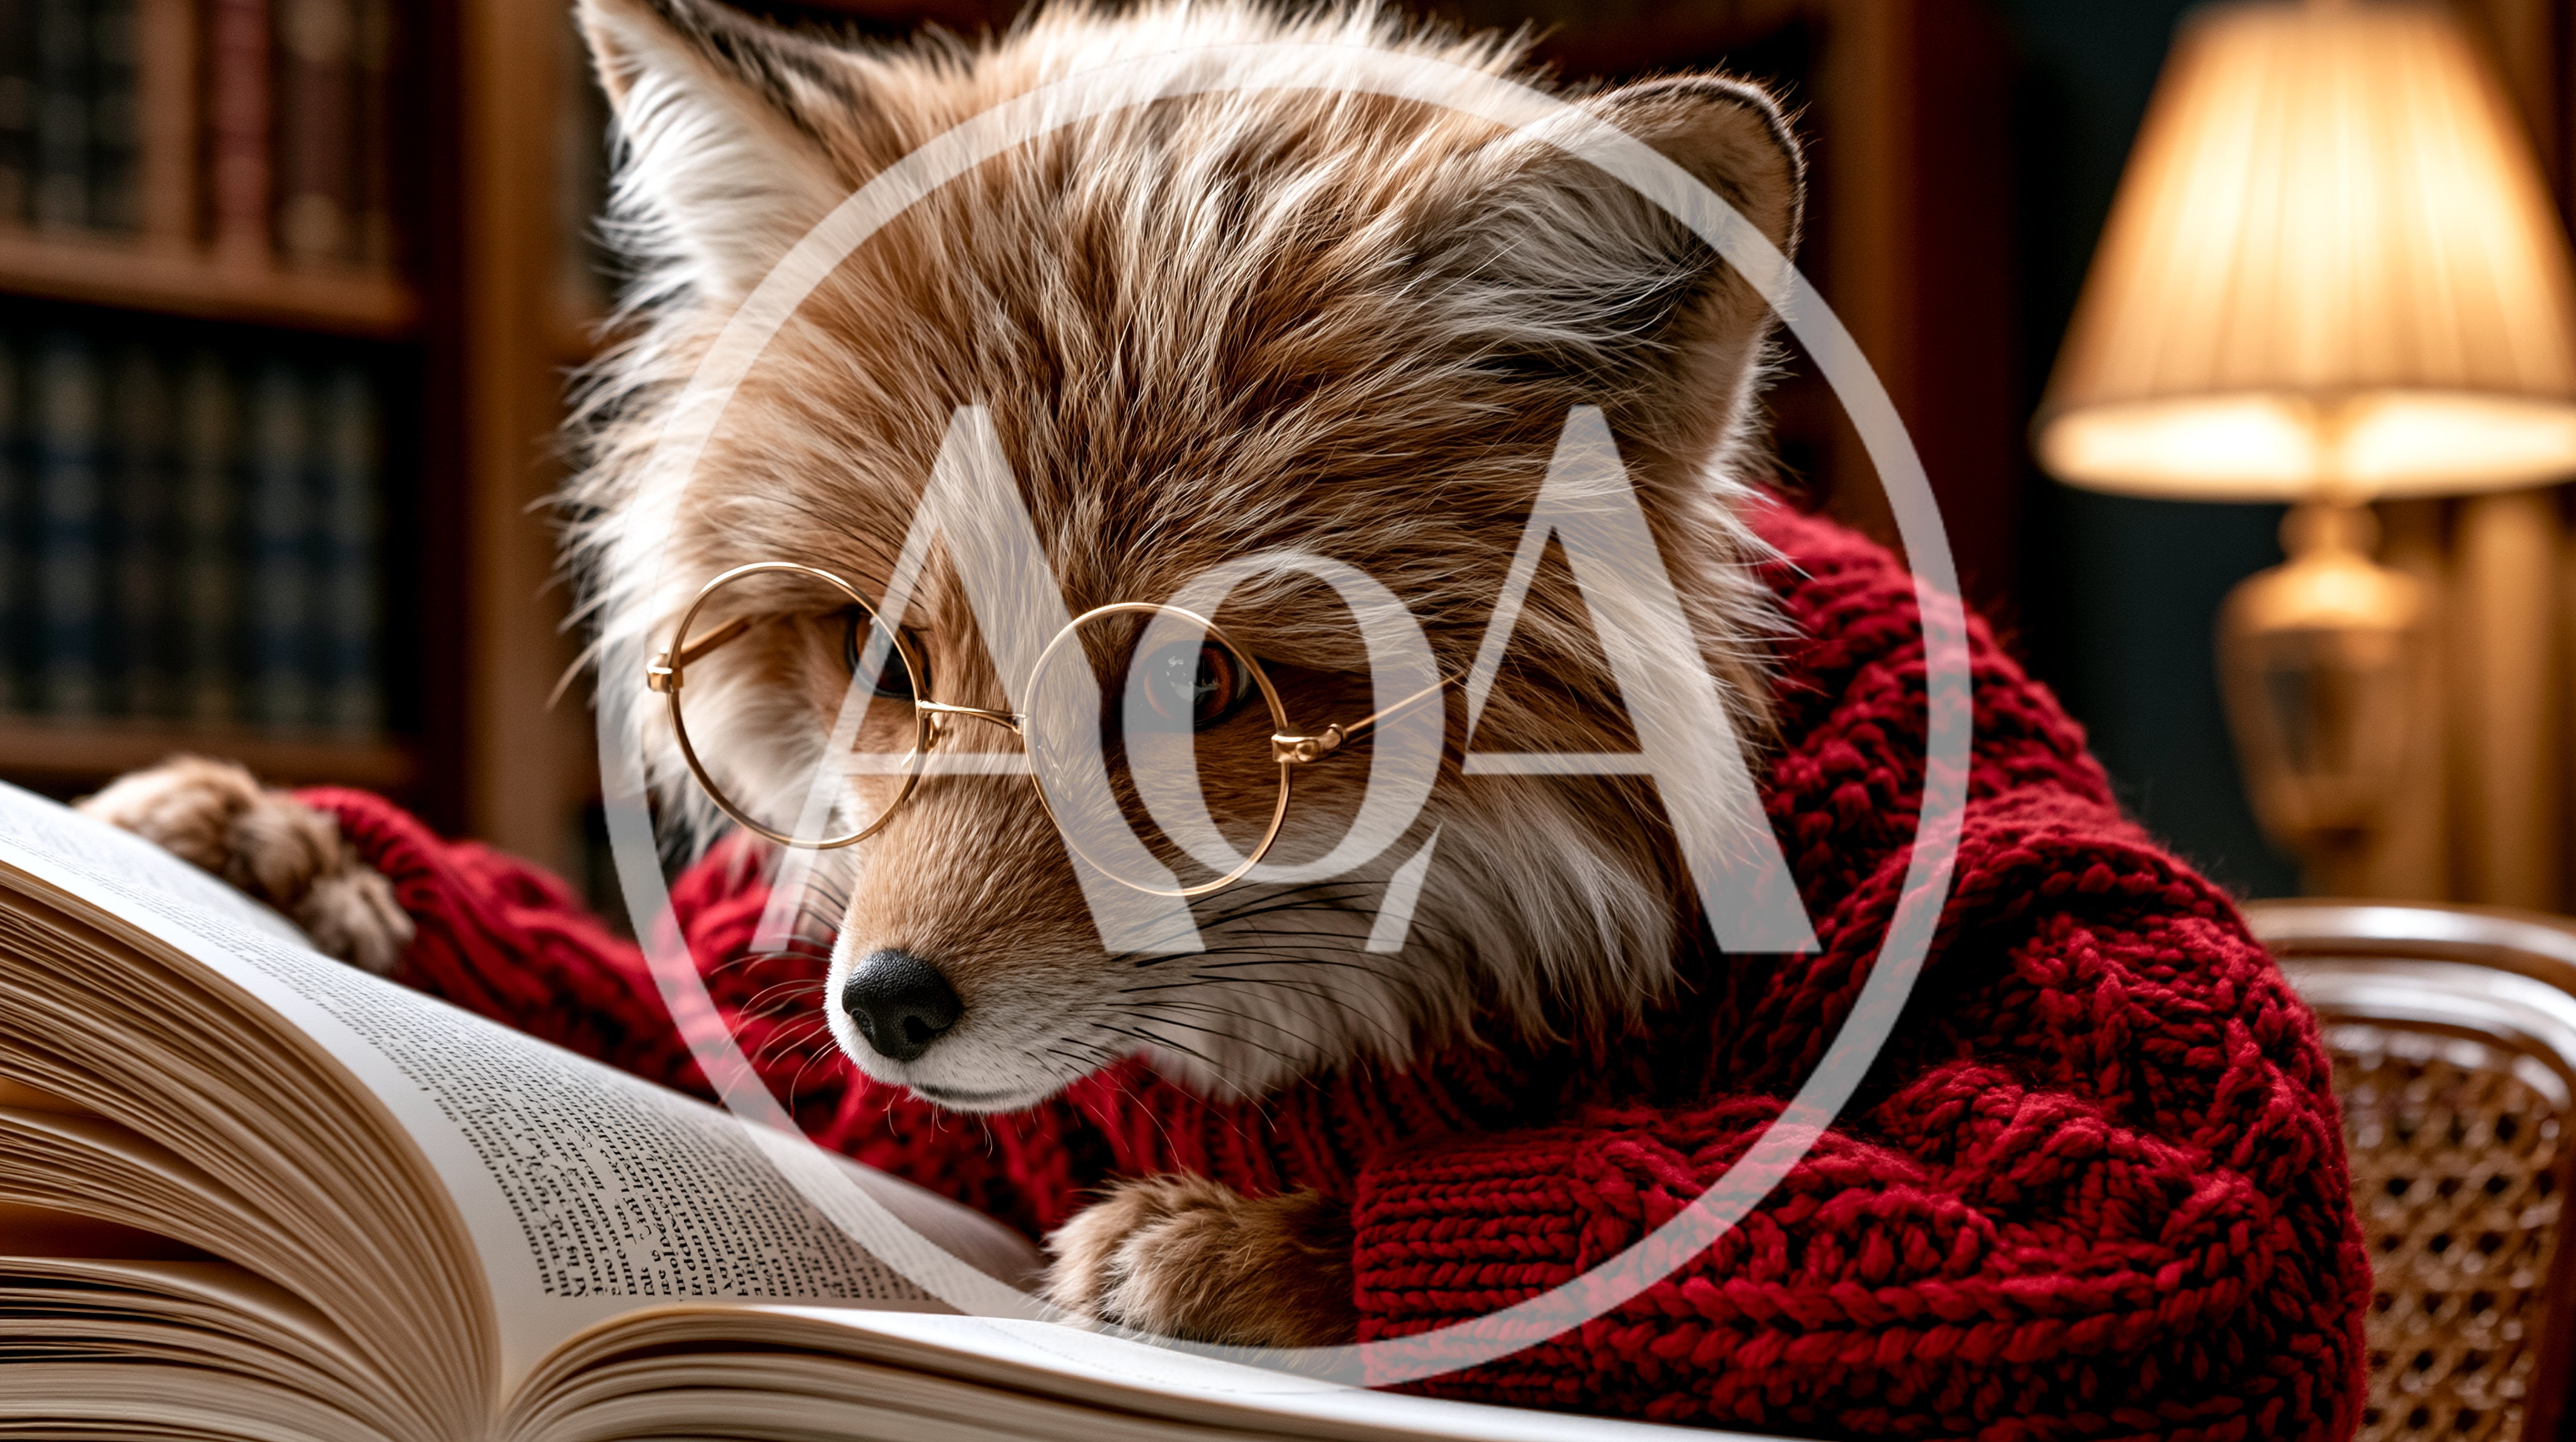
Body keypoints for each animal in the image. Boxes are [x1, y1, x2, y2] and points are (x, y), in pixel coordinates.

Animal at [82, 0, 2371, 1428]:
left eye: (1205, 687)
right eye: (881, 660)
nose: (883, 1010)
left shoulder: (2009, 930)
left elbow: (2137, 1214)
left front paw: (1243, 1255)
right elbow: (613, 971)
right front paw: (264, 849)